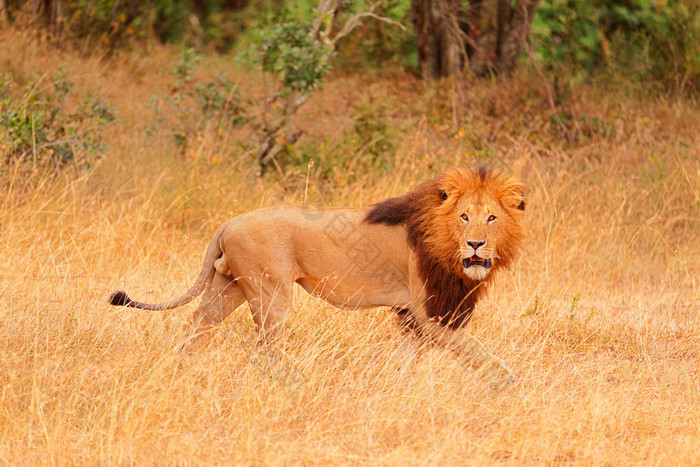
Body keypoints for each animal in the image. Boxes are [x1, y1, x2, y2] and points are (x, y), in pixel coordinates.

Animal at [108, 168, 524, 388]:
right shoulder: (431, 311)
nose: (475, 245)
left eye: (492, 218)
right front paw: (515, 389)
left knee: (194, 326)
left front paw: (394, 389)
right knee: (263, 347)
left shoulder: (412, 314)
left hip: (229, 287)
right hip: (271, 292)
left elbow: (408, 360)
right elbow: (481, 354)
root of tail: (227, 222)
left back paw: (178, 372)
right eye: (464, 217)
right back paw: (294, 382)